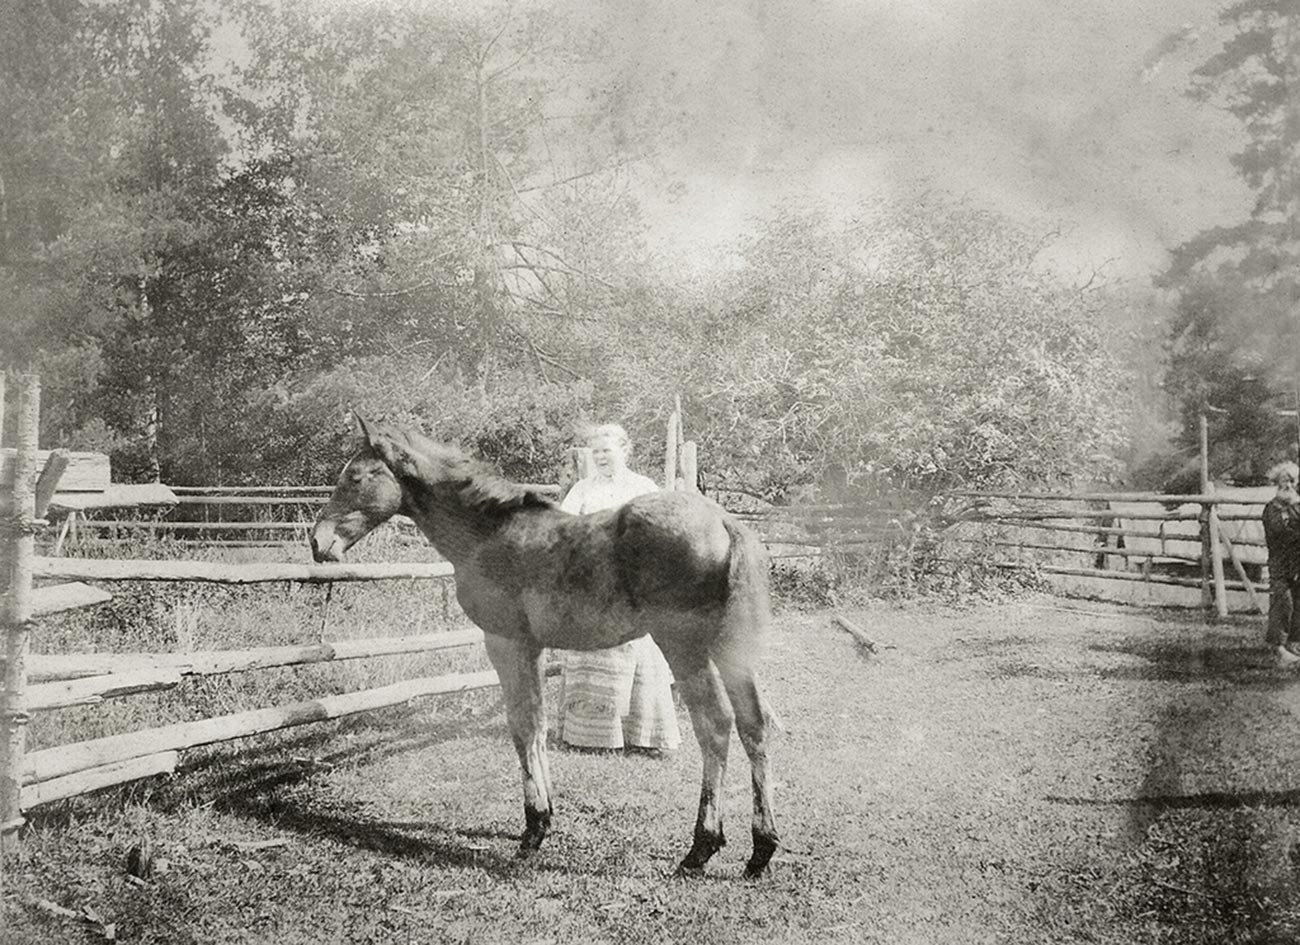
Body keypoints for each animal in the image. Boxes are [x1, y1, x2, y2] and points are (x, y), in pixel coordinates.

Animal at [312, 421, 780, 878]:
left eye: (356, 477)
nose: (318, 543)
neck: (489, 535)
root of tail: (725, 522)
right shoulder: (532, 647)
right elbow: (536, 724)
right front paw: (546, 816)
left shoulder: (505, 642)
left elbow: (521, 726)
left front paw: (533, 828)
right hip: (729, 649)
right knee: (753, 725)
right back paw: (761, 850)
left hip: (683, 644)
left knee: (715, 725)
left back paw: (701, 848)